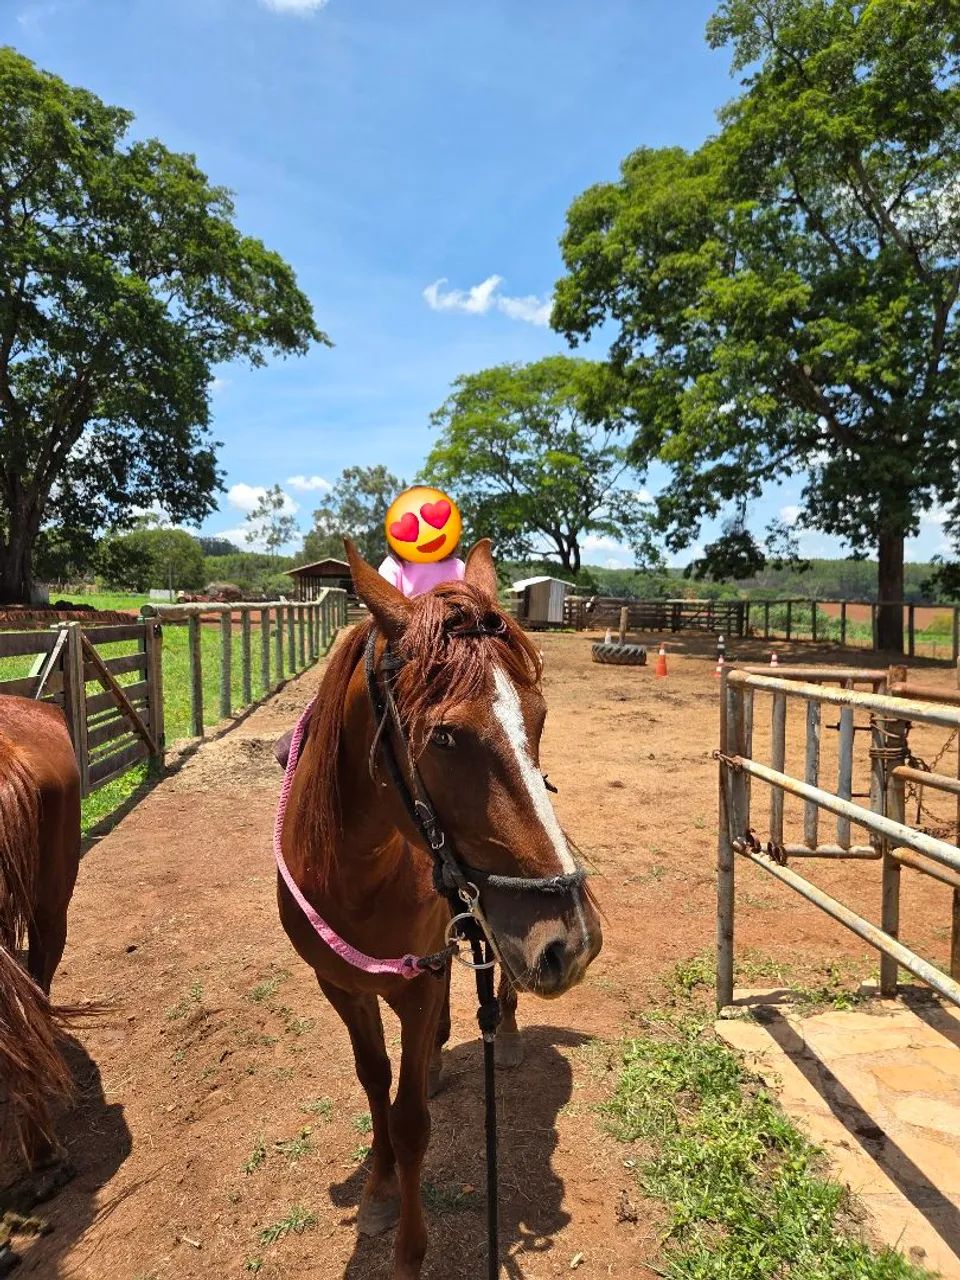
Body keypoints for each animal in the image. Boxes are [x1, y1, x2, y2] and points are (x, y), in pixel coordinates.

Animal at [277, 538, 602, 1279]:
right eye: (447, 737)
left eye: (538, 719)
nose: (570, 942)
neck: (354, 872)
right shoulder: (341, 985)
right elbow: (375, 1084)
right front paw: (376, 1191)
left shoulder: (419, 985)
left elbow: (410, 1121)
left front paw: (408, 1249)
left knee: (498, 975)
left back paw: (503, 1034)